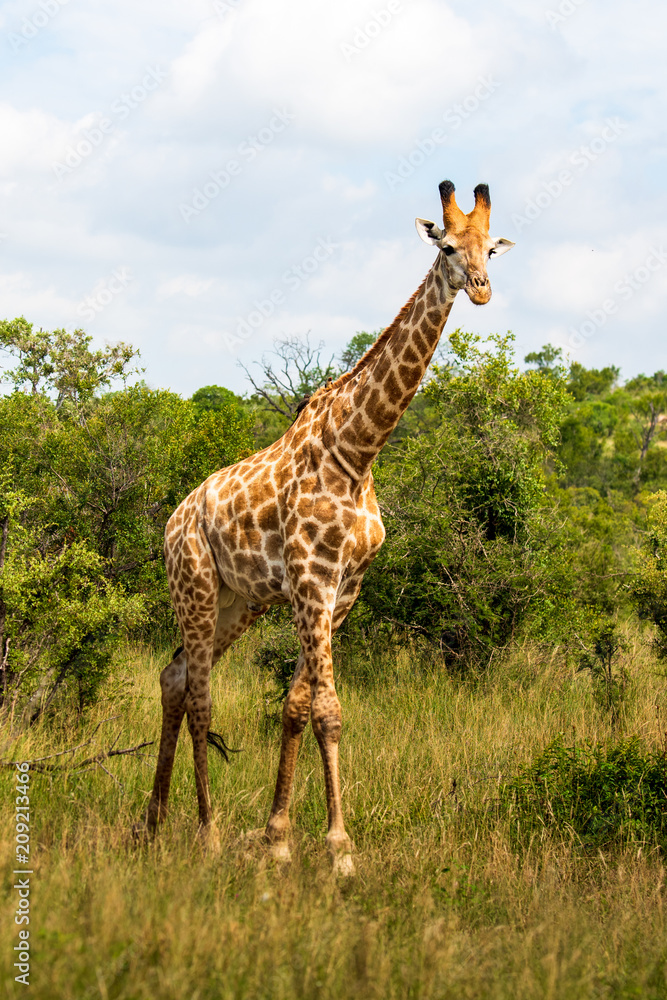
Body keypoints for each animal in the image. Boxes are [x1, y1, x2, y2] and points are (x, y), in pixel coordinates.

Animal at [137, 180, 514, 873]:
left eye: (489, 250)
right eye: (447, 246)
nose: (479, 289)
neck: (357, 452)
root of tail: (174, 520)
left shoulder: (342, 591)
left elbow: (297, 704)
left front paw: (279, 838)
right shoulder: (312, 582)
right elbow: (330, 710)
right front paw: (340, 850)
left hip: (239, 601)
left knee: (174, 677)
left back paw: (152, 824)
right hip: (193, 585)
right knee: (200, 695)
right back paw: (206, 834)